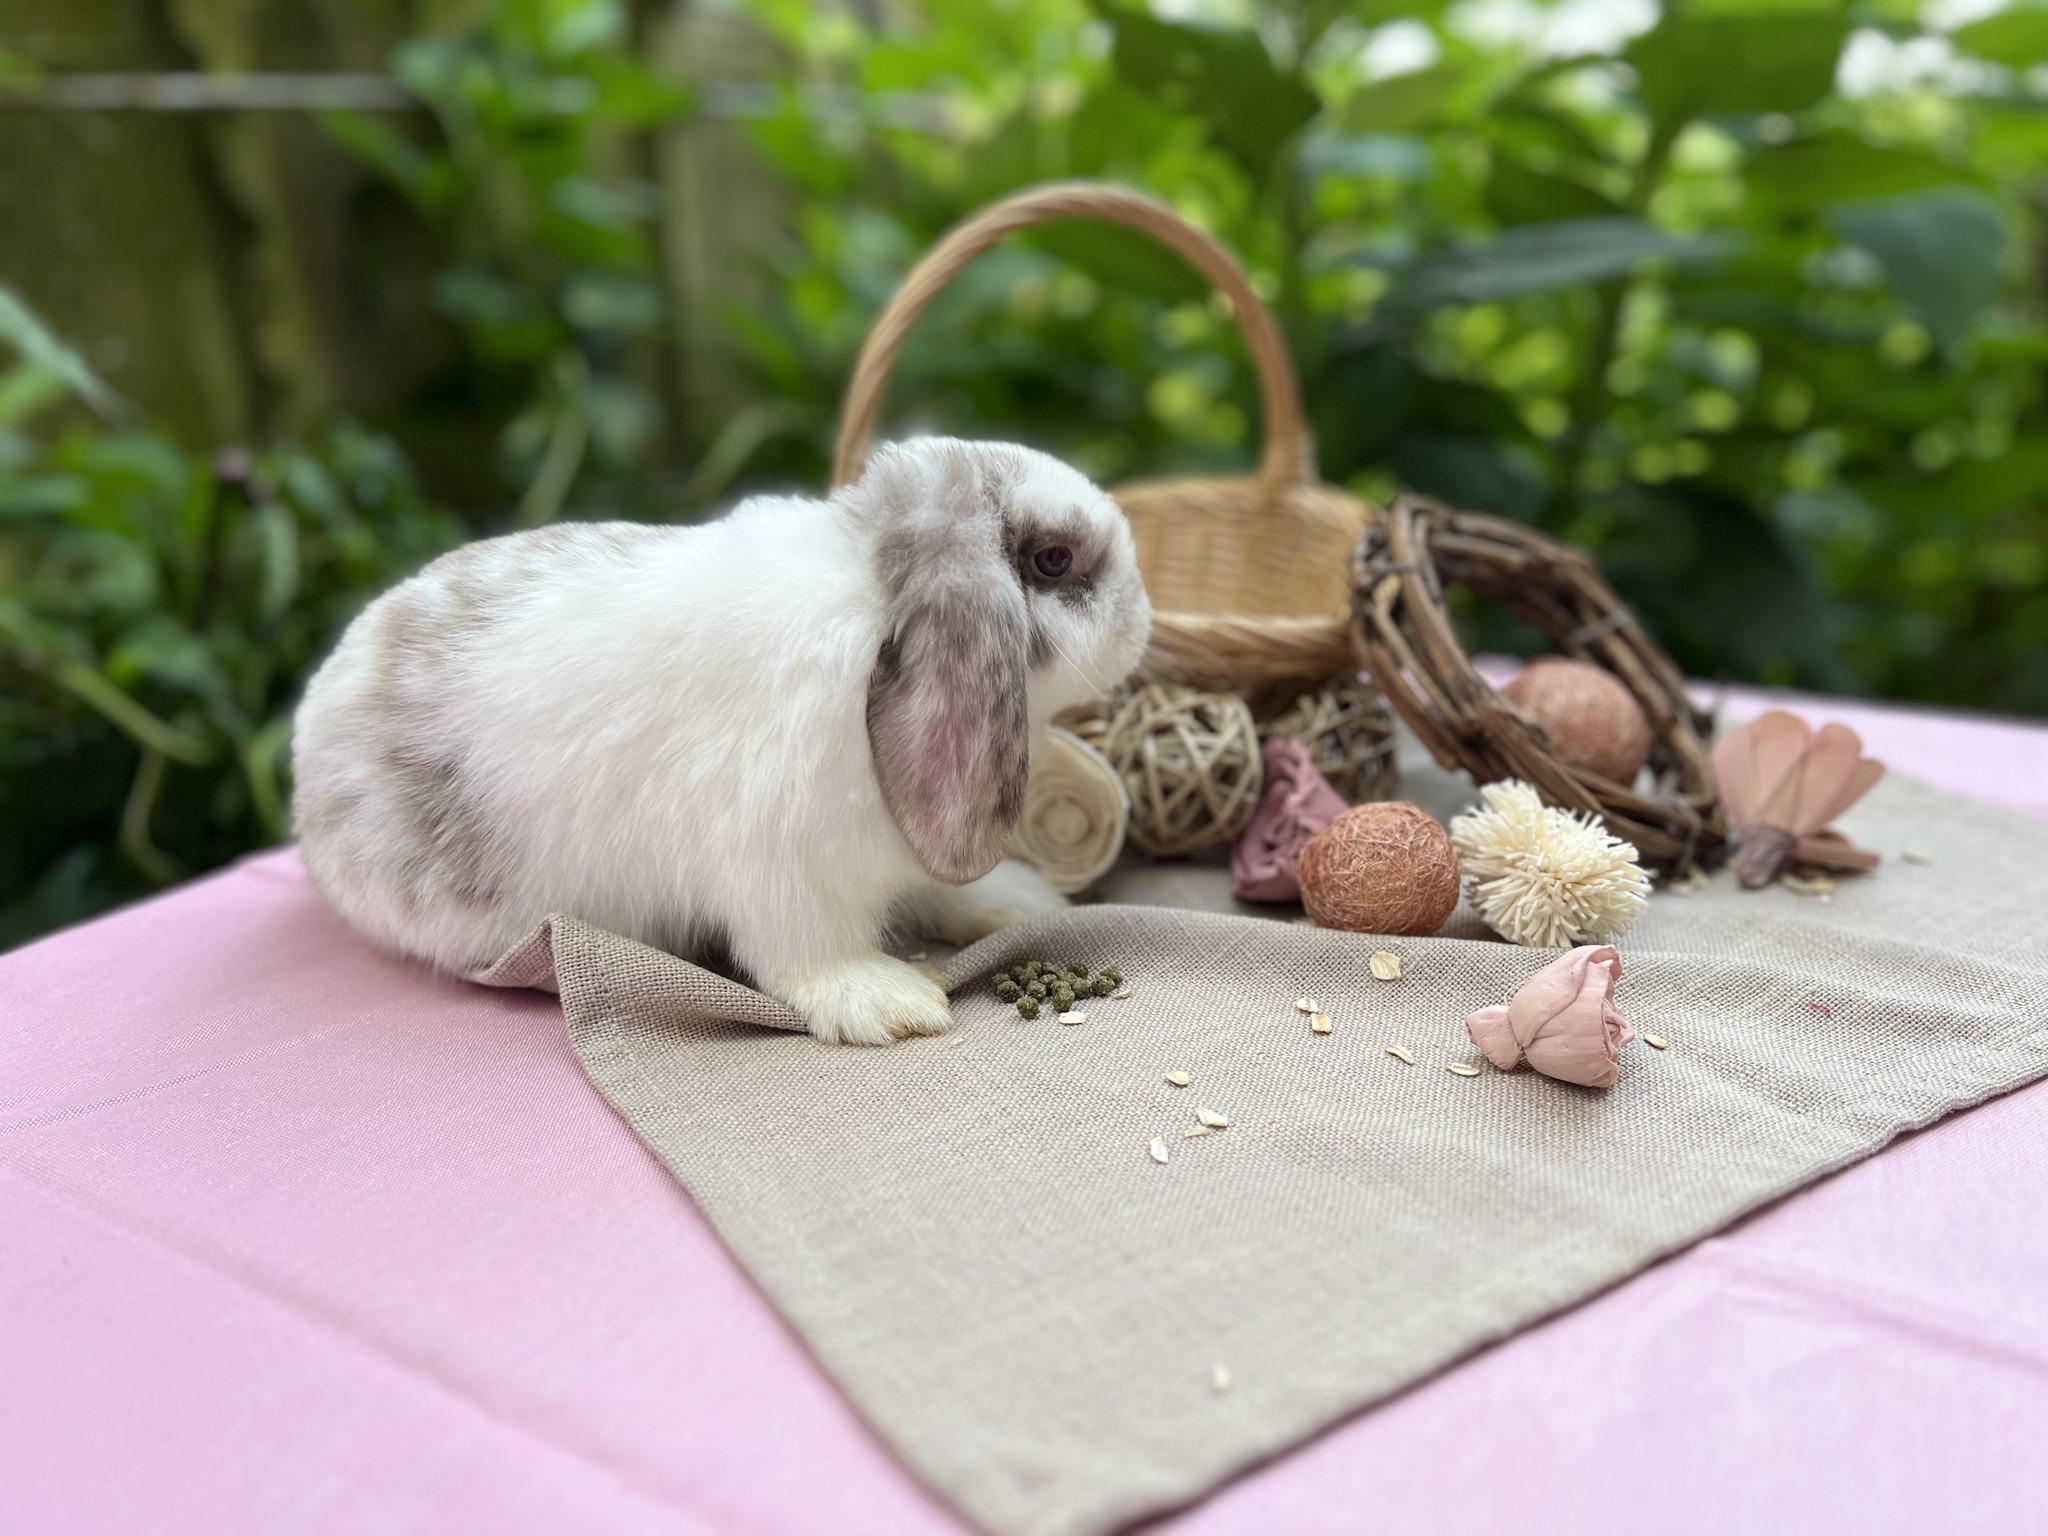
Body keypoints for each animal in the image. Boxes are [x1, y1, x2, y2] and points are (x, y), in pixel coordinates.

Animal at [291, 437, 1152, 1045]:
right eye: (1053, 559)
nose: (1143, 621)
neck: (871, 603)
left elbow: (941, 888)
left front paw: (1017, 903)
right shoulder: (784, 865)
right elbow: (806, 951)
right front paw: (891, 1002)